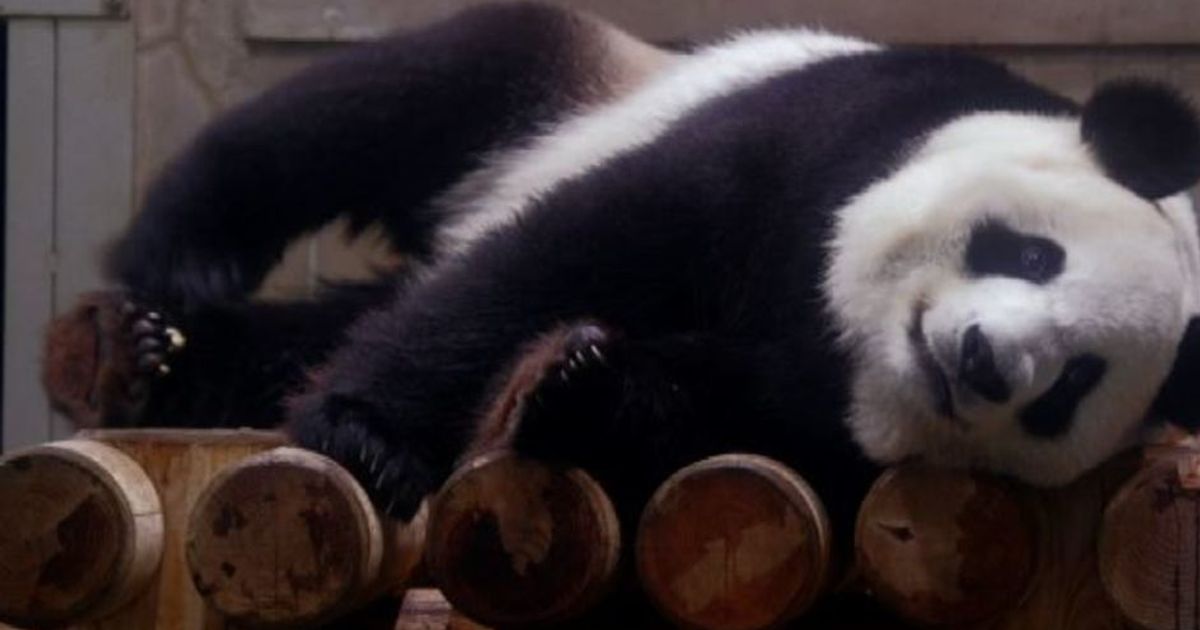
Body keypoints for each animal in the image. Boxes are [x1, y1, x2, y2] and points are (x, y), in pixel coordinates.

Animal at [43, 3, 1200, 544]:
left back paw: (150, 361)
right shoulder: (828, 141)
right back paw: (158, 299)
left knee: (351, 305)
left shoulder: (820, 433)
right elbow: (584, 244)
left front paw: (573, 386)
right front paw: (366, 436)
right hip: (568, 91)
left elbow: (716, 419)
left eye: (1071, 386)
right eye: (1028, 252)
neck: (849, 344)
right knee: (386, 107)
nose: (984, 358)